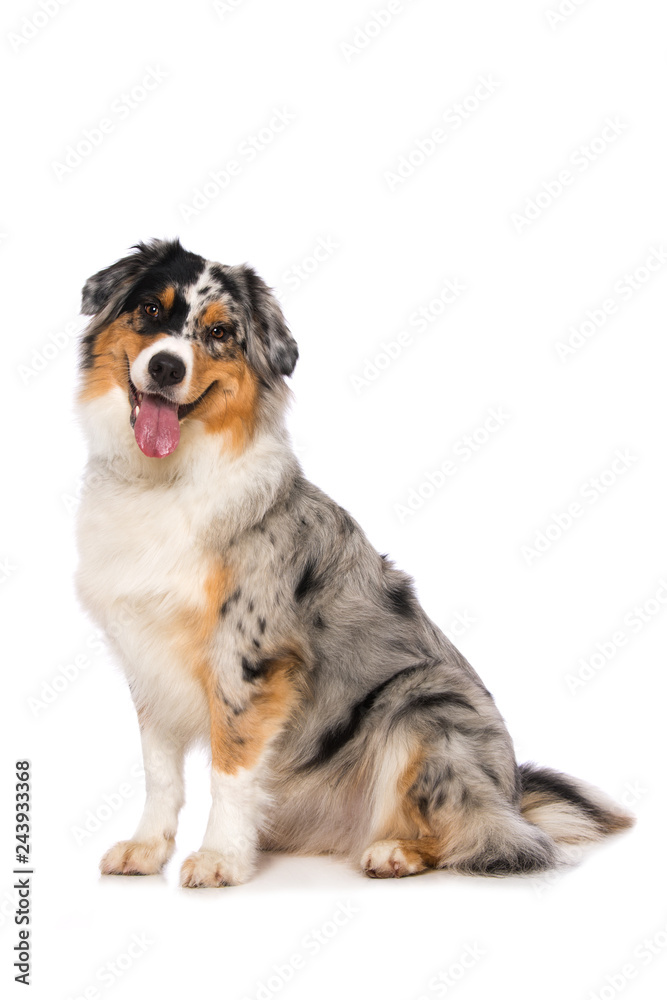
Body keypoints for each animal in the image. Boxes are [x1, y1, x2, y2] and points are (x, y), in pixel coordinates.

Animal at [75, 238, 636, 888]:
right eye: (149, 310)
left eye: (218, 332)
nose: (167, 367)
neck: (165, 481)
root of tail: (513, 794)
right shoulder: (147, 654)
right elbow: (160, 773)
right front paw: (146, 848)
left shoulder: (249, 655)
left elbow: (231, 768)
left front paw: (220, 858)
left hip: (422, 705)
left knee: (482, 835)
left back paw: (396, 851)